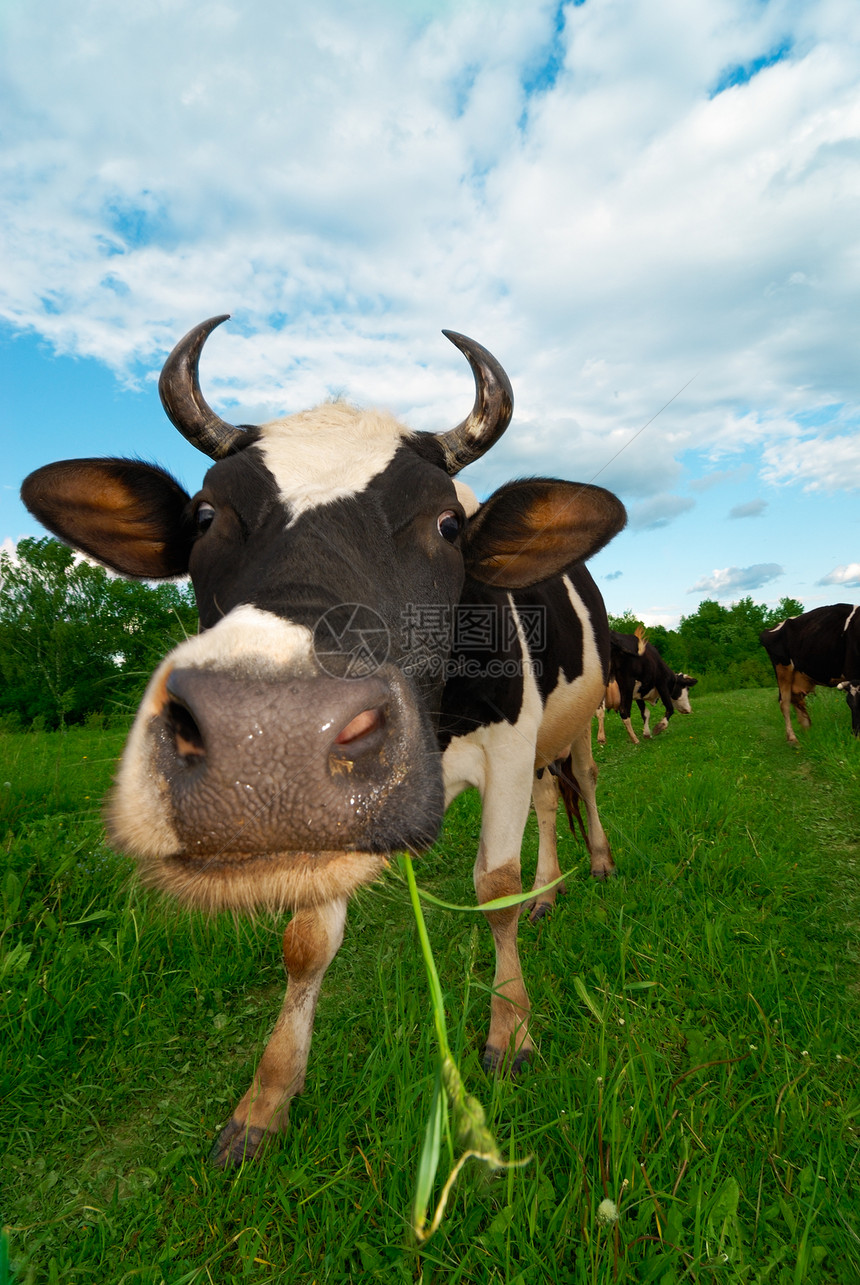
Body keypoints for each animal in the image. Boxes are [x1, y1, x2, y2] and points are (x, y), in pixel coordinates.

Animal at [21, 313, 624, 1166]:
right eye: (206, 516)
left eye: (447, 524)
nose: (266, 730)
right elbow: (306, 938)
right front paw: (266, 1097)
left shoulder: (508, 743)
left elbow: (494, 889)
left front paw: (510, 1030)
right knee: (548, 802)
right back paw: (552, 889)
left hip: (579, 715)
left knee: (582, 782)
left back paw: (593, 864)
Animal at [755, 603, 858, 745]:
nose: (856, 737)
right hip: (782, 668)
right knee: (784, 702)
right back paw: (793, 739)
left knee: (796, 699)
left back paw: (807, 732)